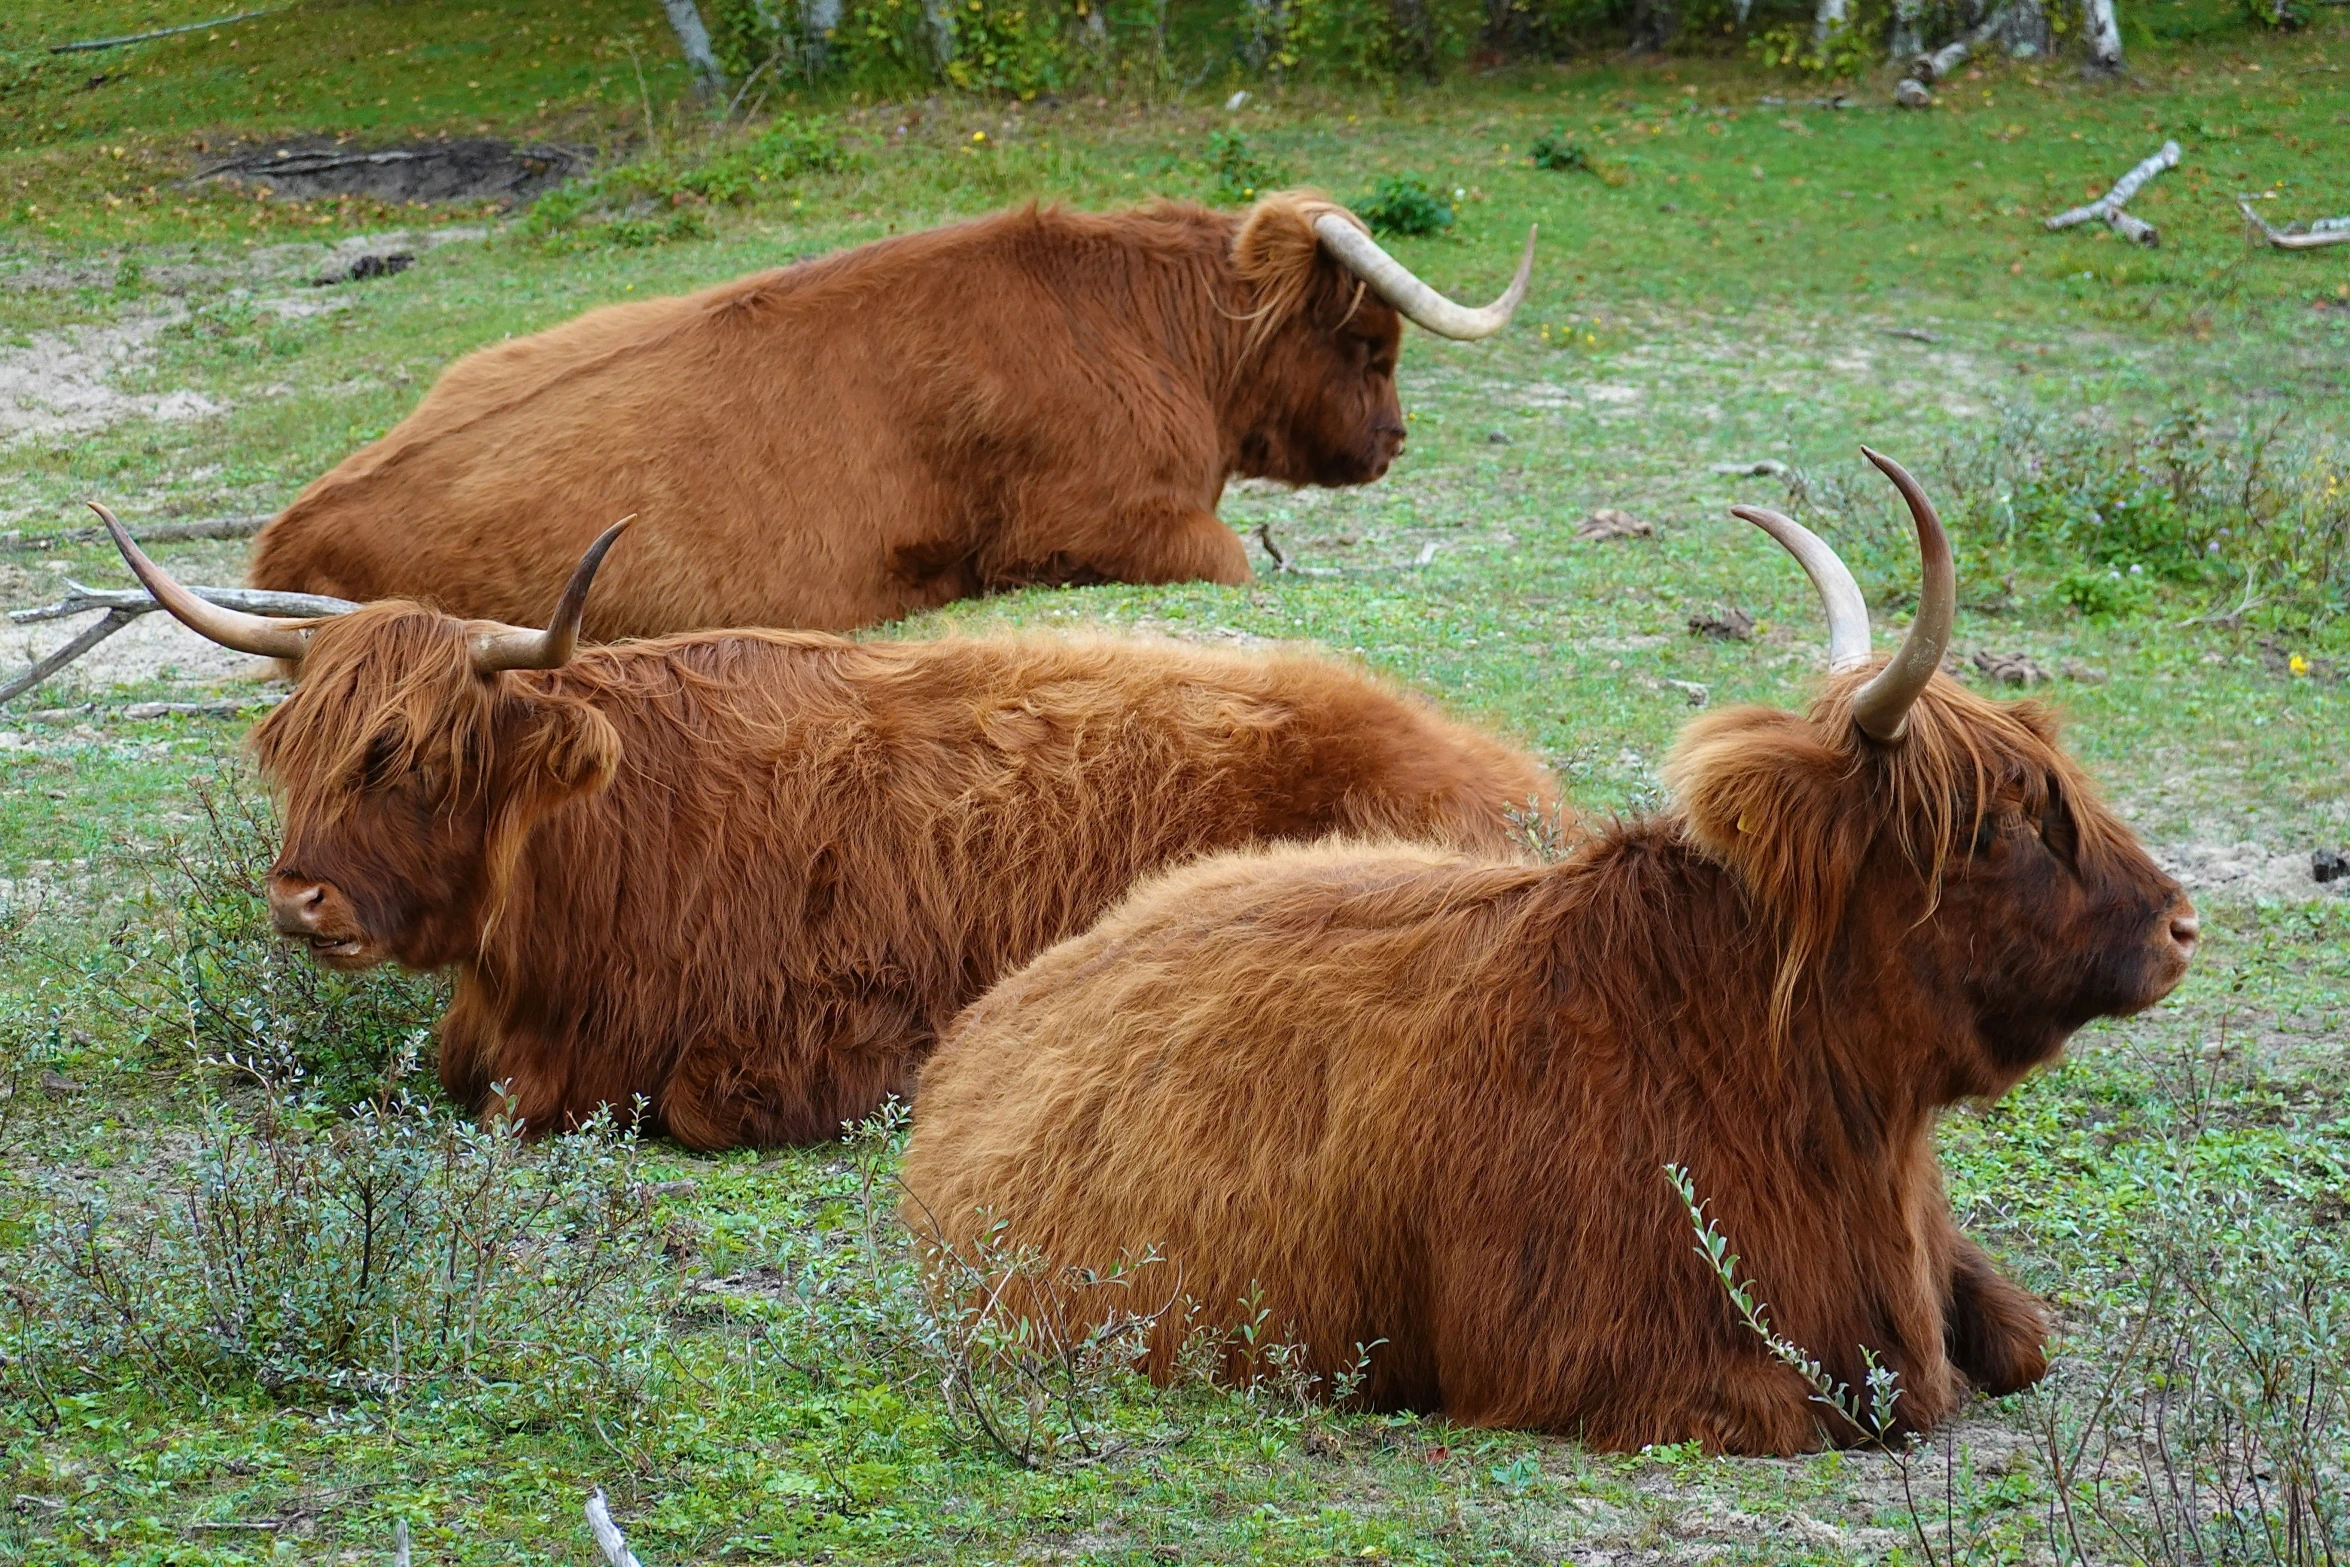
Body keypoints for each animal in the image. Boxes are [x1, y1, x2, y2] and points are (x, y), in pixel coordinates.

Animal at [247, 194, 1532, 639]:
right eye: (1367, 342)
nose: (1394, 438)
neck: (1145, 327)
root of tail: (294, 524)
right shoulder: (1109, 528)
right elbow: (1236, 562)